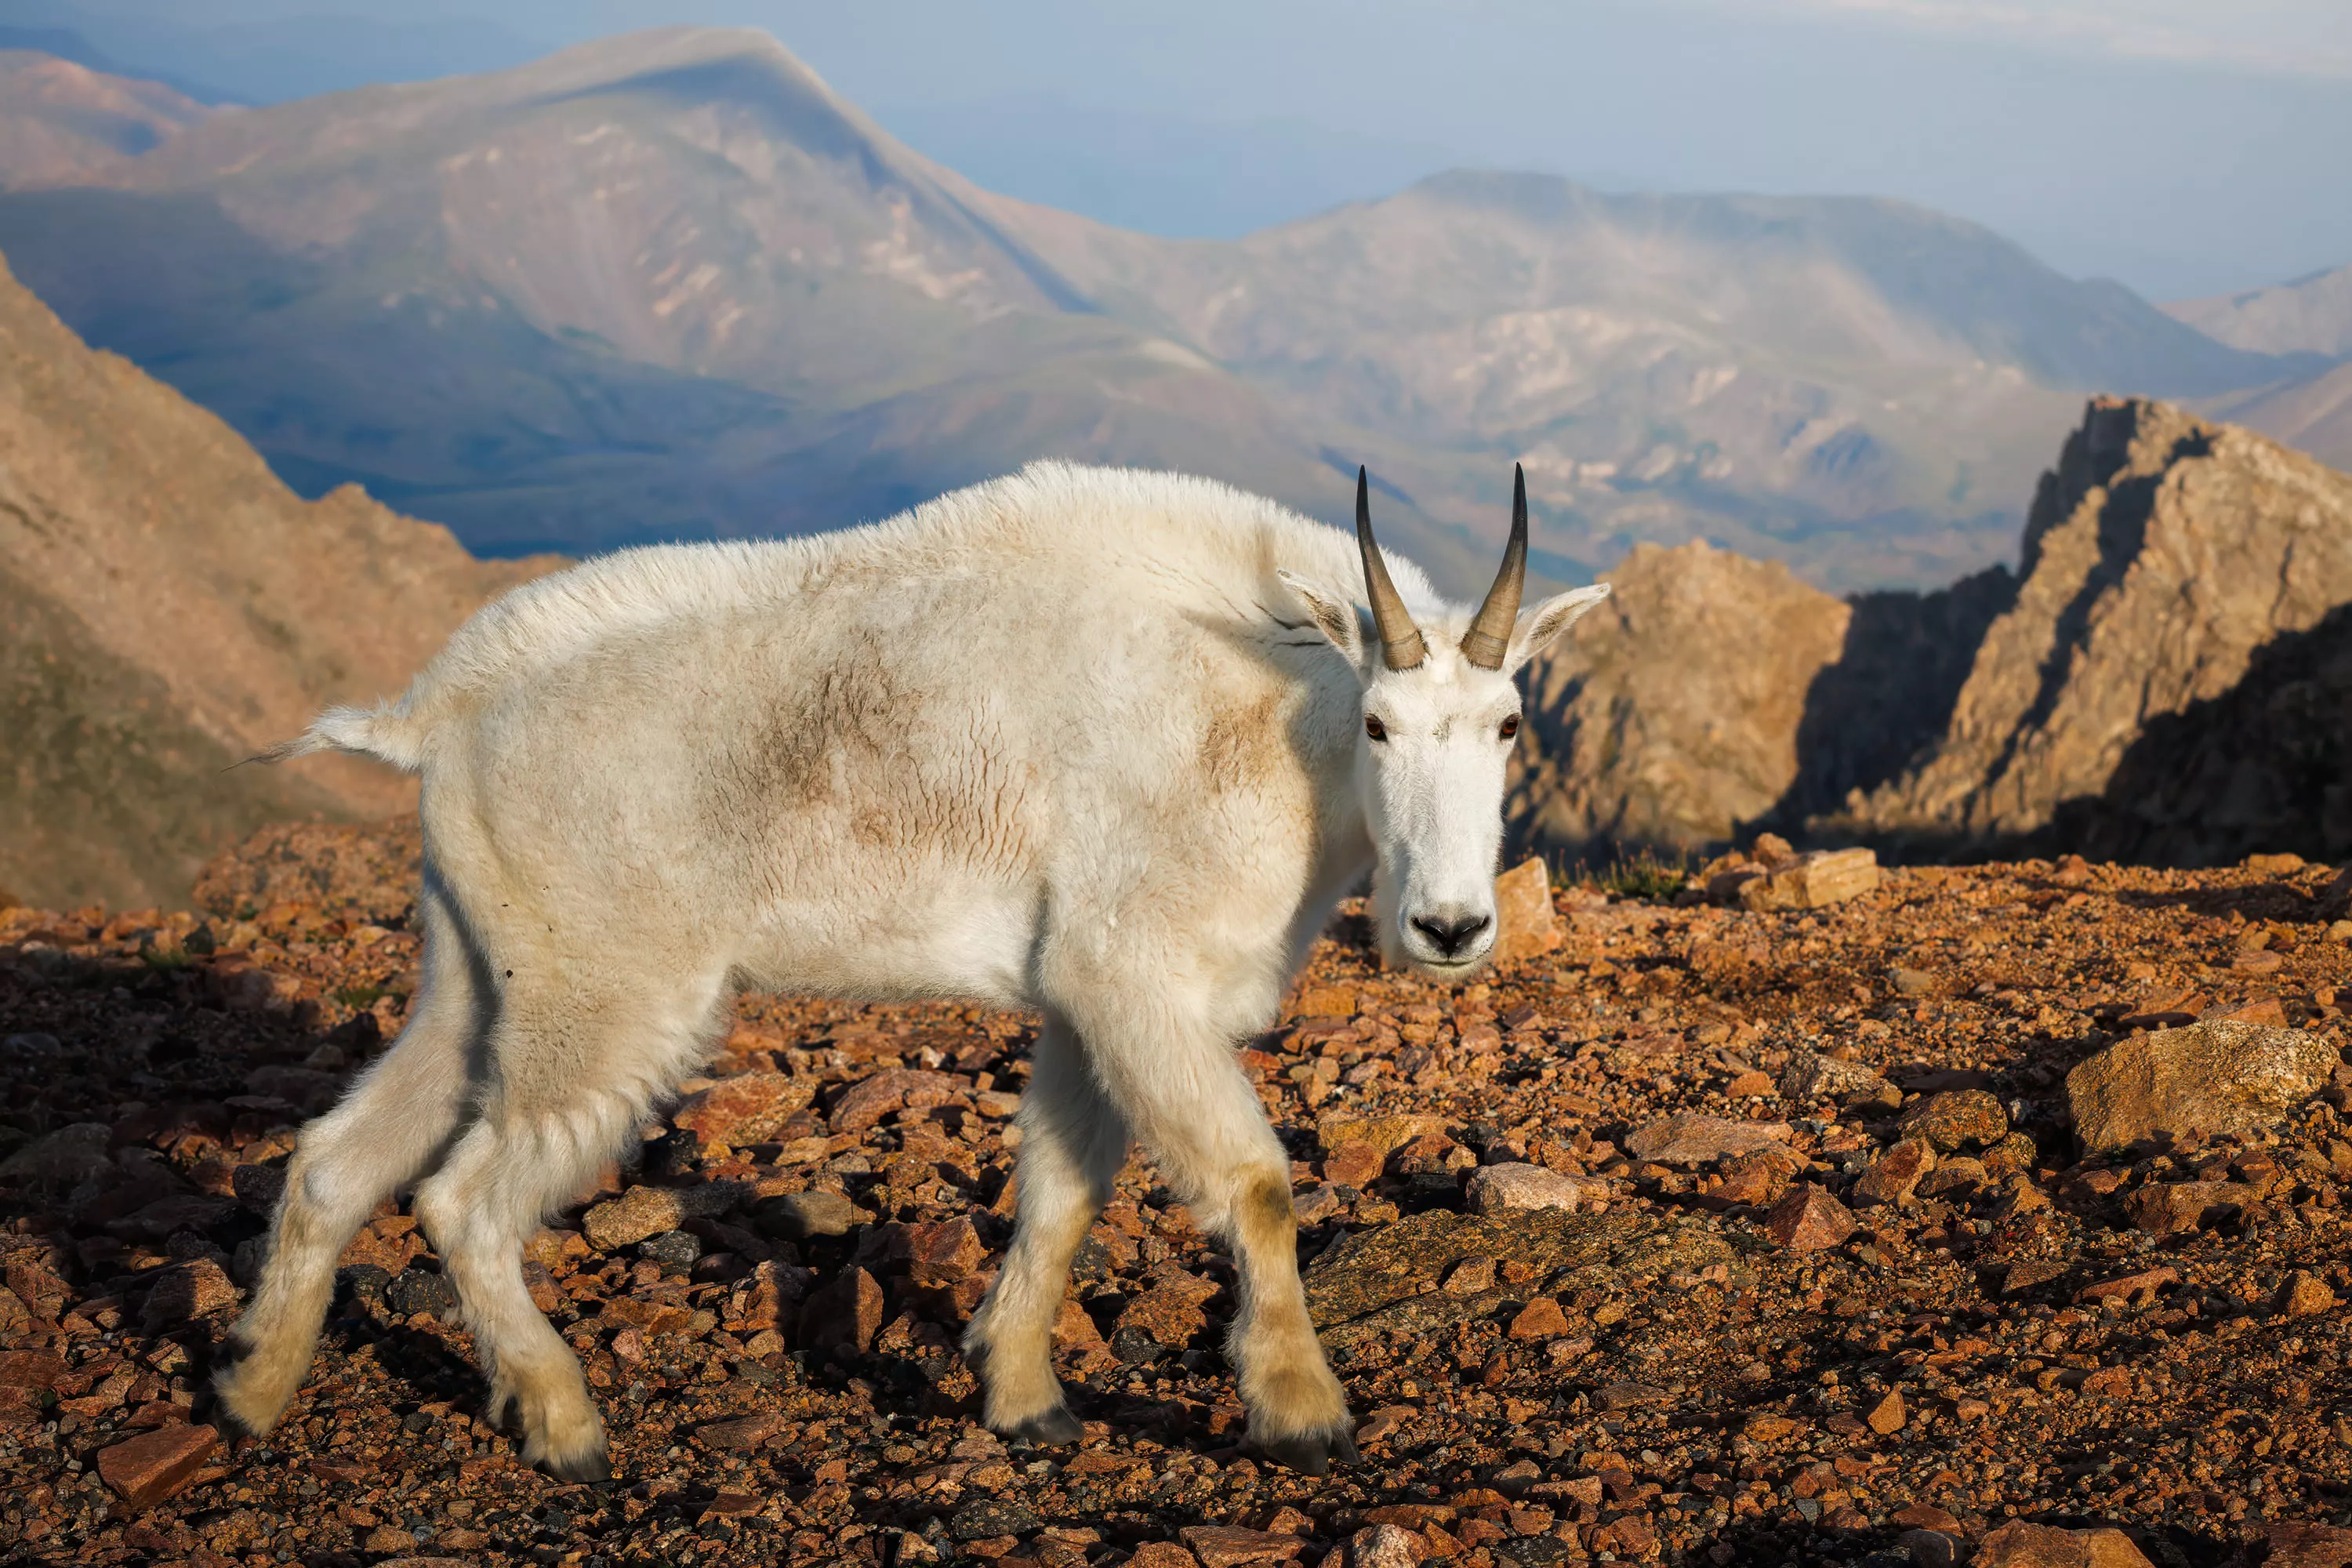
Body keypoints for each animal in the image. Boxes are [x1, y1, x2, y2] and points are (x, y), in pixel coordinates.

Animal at [213, 460, 1610, 1479]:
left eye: (1508, 724)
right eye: (1379, 722)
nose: (1450, 929)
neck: (1267, 717)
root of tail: (435, 714)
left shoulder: (1078, 1002)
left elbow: (1060, 1196)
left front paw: (1024, 1401)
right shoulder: (1134, 975)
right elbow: (1257, 1184)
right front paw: (1302, 1411)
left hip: (480, 969)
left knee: (338, 1159)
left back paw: (247, 1391)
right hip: (607, 990)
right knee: (464, 1198)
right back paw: (564, 1427)